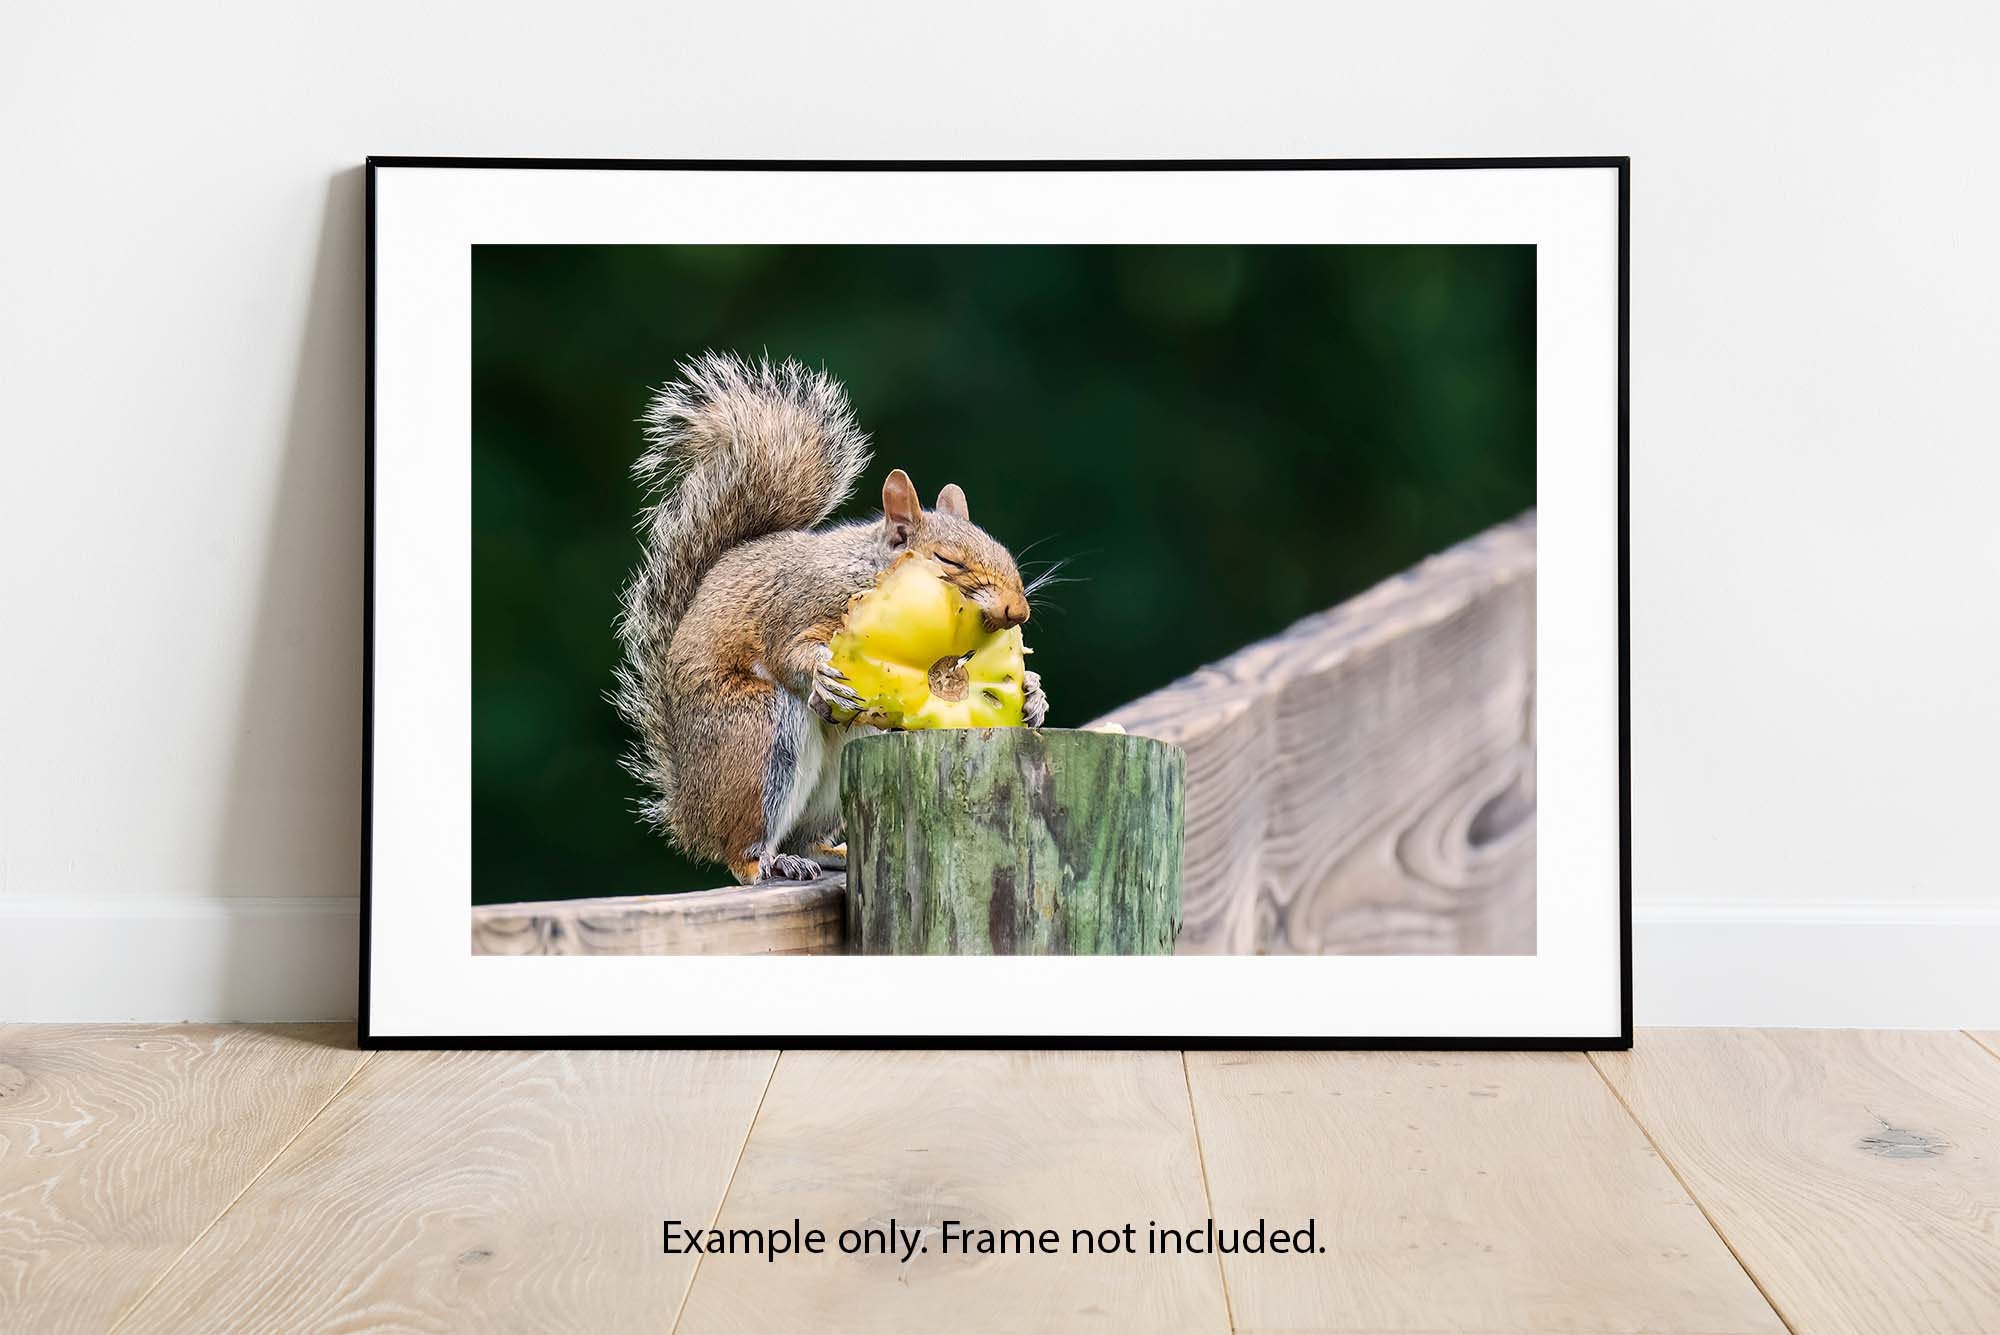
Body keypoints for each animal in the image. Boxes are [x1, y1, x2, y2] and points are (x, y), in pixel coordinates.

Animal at [613, 352, 1050, 886]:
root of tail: (691, 812)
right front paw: (821, 674)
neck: (871, 573)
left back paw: (826, 852)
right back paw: (766, 859)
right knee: (742, 851)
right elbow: (787, 653)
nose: (1018, 611)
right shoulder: (801, 603)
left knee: (808, 832)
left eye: (1003, 553)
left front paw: (1033, 695)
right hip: (758, 735)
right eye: (949, 561)